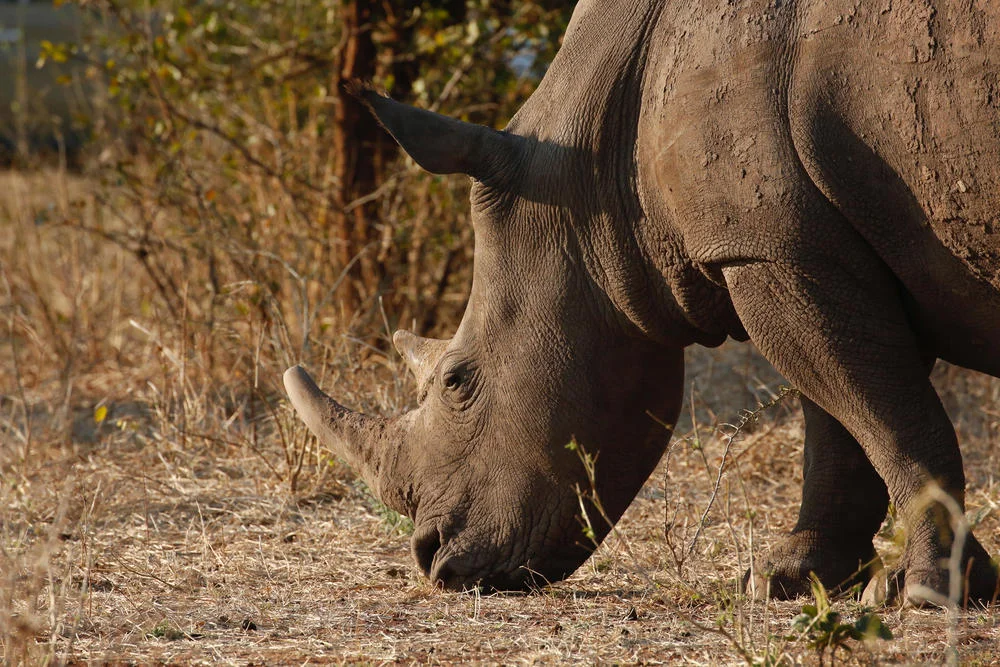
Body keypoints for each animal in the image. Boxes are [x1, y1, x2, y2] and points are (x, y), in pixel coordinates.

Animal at [284, 0, 1000, 604]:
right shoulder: (803, 244)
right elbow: (846, 422)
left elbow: (888, 420)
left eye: (459, 381)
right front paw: (787, 580)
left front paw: (928, 593)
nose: (432, 560)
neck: (595, 178)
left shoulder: (767, 247)